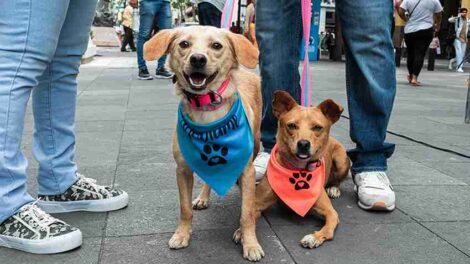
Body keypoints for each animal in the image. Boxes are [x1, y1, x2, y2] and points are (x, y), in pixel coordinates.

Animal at [145, 25, 264, 260]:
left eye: (216, 45)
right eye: (184, 44)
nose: (198, 59)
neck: (207, 111)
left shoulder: (247, 170)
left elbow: (247, 213)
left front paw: (250, 243)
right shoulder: (182, 169)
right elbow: (184, 208)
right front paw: (182, 235)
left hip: (255, 145)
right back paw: (202, 197)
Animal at [233, 91, 350, 256]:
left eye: (317, 127)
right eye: (292, 125)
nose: (303, 144)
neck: (297, 169)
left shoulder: (331, 212)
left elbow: (328, 228)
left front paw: (314, 237)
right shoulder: (257, 204)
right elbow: (248, 216)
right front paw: (242, 233)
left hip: (341, 159)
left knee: (338, 179)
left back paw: (334, 188)